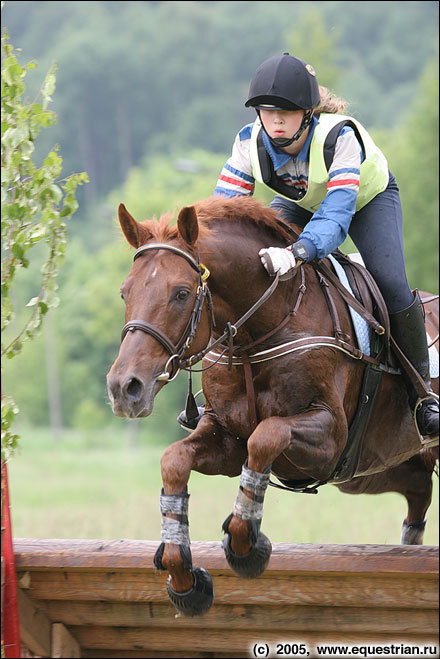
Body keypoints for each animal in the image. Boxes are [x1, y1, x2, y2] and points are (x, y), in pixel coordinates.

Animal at [105, 196, 436, 620]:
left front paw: (246, 545)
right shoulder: (227, 438)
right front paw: (184, 577)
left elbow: (266, 437)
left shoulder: (331, 441)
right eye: (124, 293)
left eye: (180, 293)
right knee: (419, 488)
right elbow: (175, 460)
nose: (124, 387)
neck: (259, 333)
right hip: (371, 468)